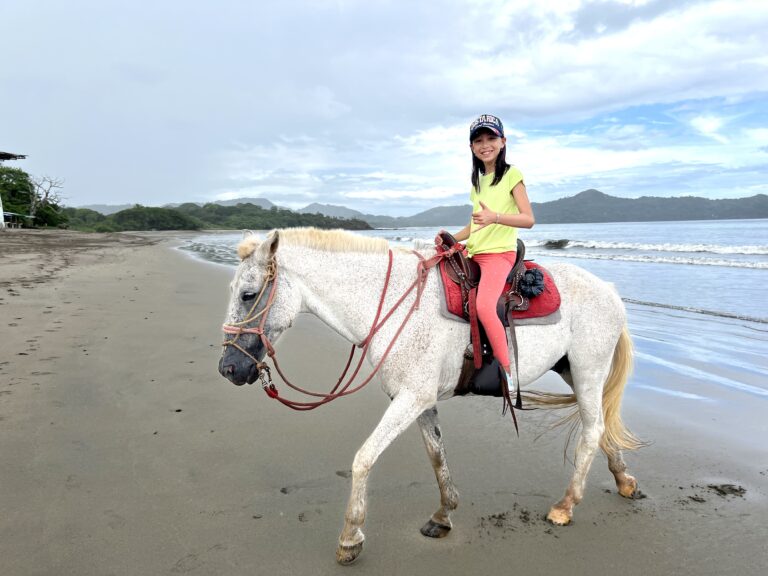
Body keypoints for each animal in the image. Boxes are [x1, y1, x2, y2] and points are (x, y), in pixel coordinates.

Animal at [219, 227, 644, 564]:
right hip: (572, 370)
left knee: (593, 430)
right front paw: (443, 516)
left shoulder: (411, 399)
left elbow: (363, 459)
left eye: (248, 294)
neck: (395, 305)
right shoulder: (417, 401)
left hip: (588, 371)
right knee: (601, 428)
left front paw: (350, 538)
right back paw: (624, 481)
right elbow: (436, 455)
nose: (228, 369)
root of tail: (609, 291)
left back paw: (565, 506)